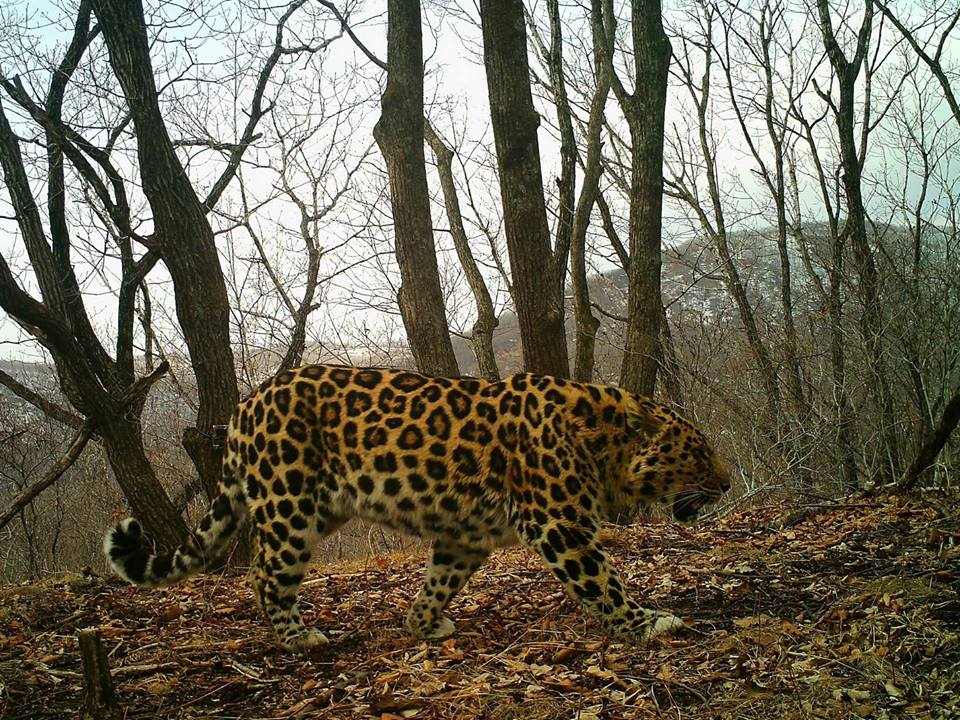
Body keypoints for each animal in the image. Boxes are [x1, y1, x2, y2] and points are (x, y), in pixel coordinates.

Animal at [105, 366, 732, 652]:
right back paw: (298, 637)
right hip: (289, 506)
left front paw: (423, 624)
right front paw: (647, 622)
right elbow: (604, 581)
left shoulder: (466, 535)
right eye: (700, 454)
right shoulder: (560, 524)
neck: (605, 446)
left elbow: (439, 581)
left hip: (316, 506)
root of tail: (243, 407)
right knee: (264, 574)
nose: (727, 483)